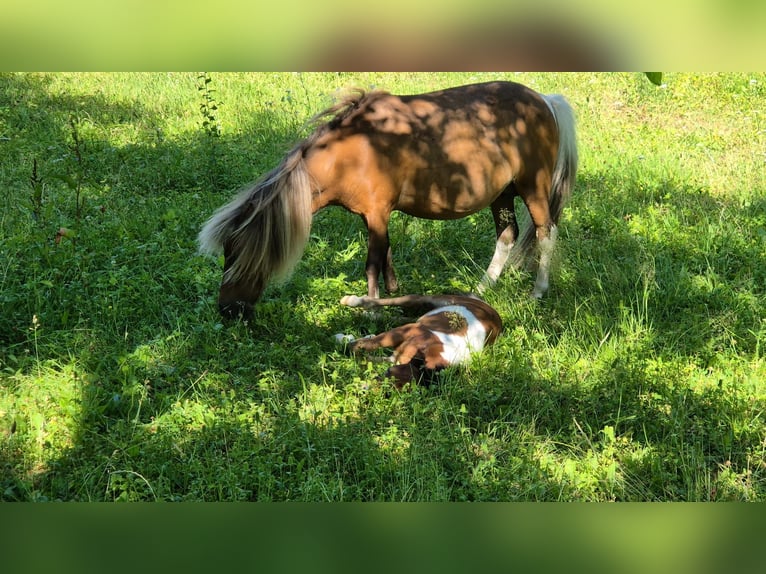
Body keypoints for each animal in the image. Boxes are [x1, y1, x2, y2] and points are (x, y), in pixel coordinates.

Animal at [198, 81, 578, 318]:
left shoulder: (377, 213)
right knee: (507, 236)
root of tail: (546, 100)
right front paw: (393, 292)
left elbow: (372, 262)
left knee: (546, 232)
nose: (227, 311)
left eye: (236, 256)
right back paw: (479, 290)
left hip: (532, 187)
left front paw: (370, 306)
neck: (354, 150)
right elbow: (387, 256)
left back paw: (538, 290)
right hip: (501, 194)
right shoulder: (374, 215)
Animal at [335, 293, 503, 388]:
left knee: (397, 317)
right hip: (430, 301)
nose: (364, 389)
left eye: (398, 388)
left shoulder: (394, 357)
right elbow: (358, 347)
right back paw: (352, 301)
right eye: (389, 373)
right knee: (398, 301)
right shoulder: (400, 332)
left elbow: (363, 356)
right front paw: (342, 340)